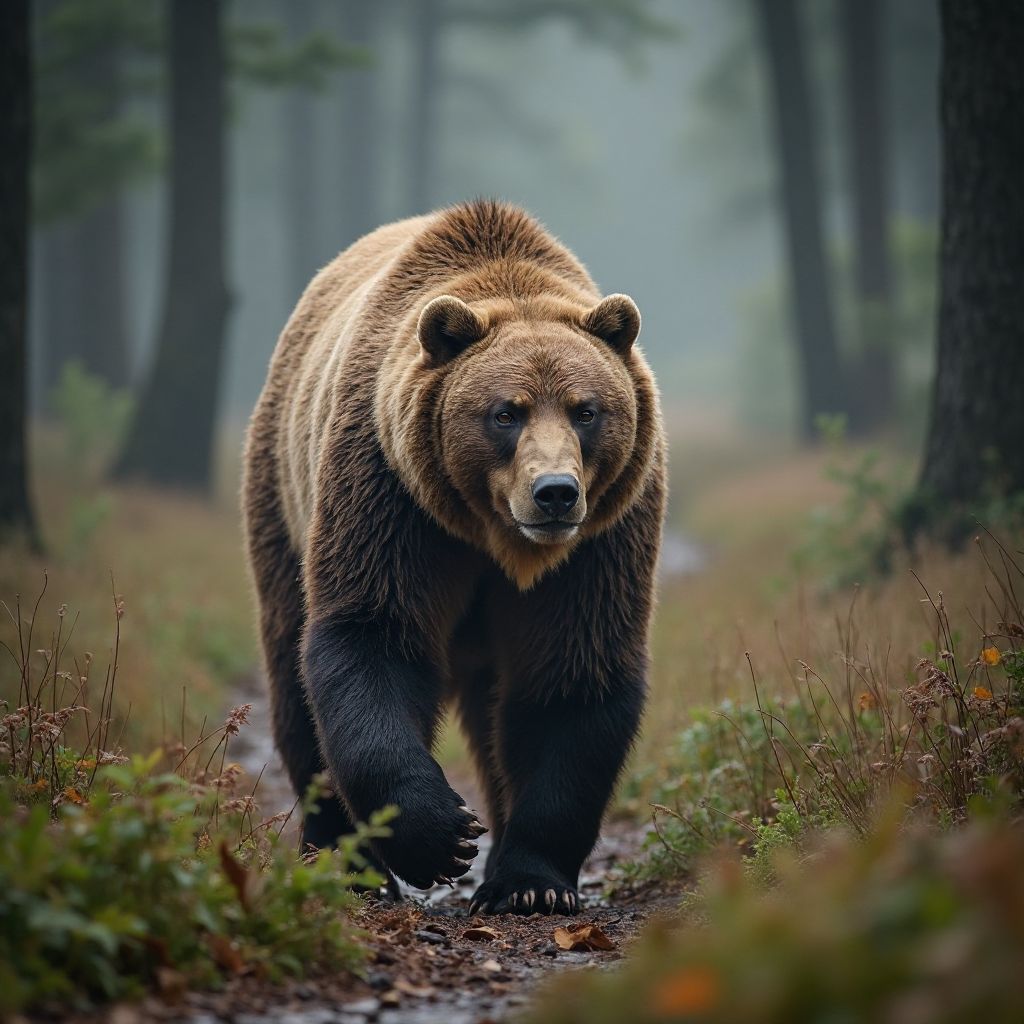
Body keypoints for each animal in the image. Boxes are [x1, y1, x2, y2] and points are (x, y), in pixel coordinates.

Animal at [242, 199, 665, 915]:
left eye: (586, 410)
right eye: (505, 412)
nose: (555, 492)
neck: (495, 538)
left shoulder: (603, 536)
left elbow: (573, 671)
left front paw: (528, 883)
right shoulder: (393, 494)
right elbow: (374, 636)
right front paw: (440, 836)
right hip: (281, 497)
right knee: (295, 684)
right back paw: (343, 864)